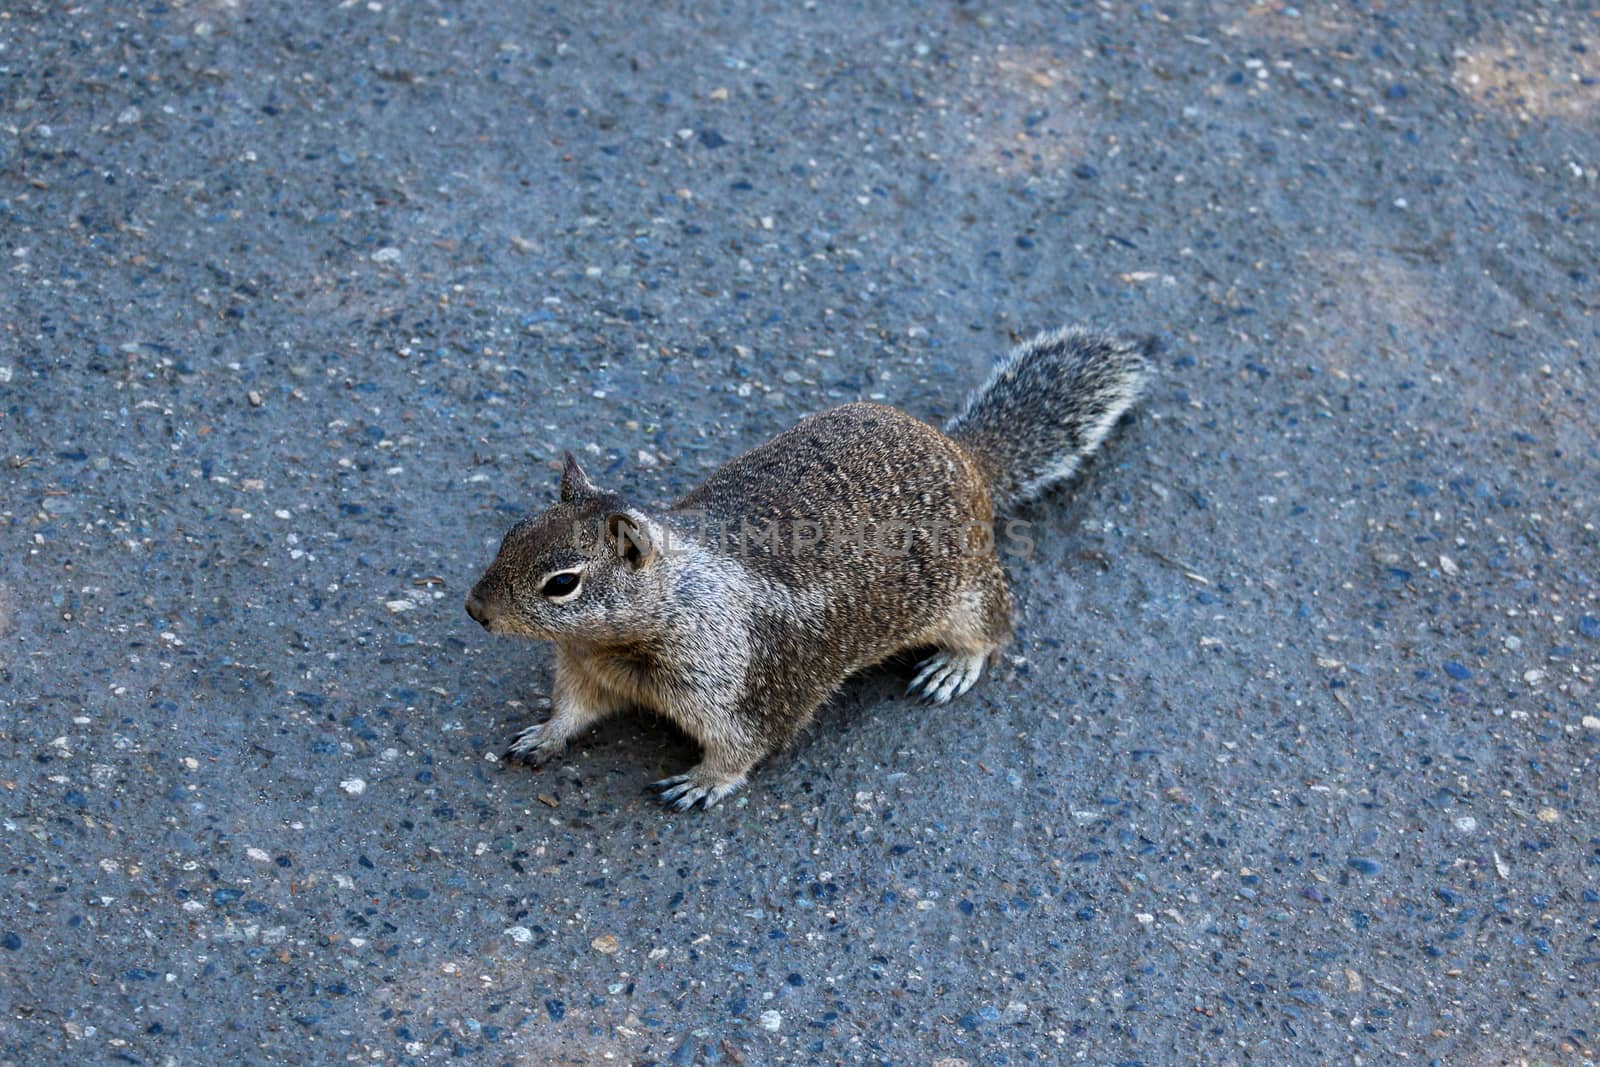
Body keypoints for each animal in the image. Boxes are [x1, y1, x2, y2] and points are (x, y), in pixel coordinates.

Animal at [464, 326, 1152, 809]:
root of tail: (966, 458)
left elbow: (745, 747)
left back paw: (954, 666)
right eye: (511, 533)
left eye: (563, 584)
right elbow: (574, 708)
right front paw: (544, 734)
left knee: (995, 628)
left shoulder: (746, 687)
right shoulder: (586, 666)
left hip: (967, 591)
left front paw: (703, 782)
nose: (474, 610)